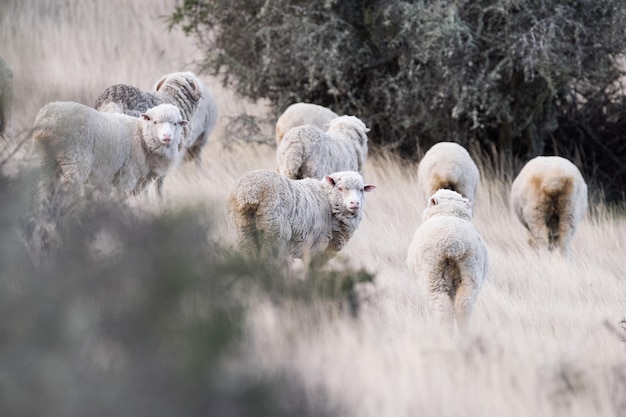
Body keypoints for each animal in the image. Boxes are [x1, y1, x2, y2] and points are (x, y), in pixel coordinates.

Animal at [31, 101, 186, 197]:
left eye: (176, 123)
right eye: (155, 122)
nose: (167, 136)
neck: (142, 137)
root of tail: (47, 120)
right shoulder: (126, 177)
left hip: (44, 159)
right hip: (75, 162)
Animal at [229, 168, 376, 260]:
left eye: (361, 189)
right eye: (340, 188)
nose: (354, 203)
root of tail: (250, 191)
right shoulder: (313, 251)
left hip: (244, 231)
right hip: (275, 234)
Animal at [404, 188, 488, 328]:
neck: (449, 212)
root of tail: (454, 243)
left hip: (433, 276)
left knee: (442, 309)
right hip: (471, 274)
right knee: (463, 305)